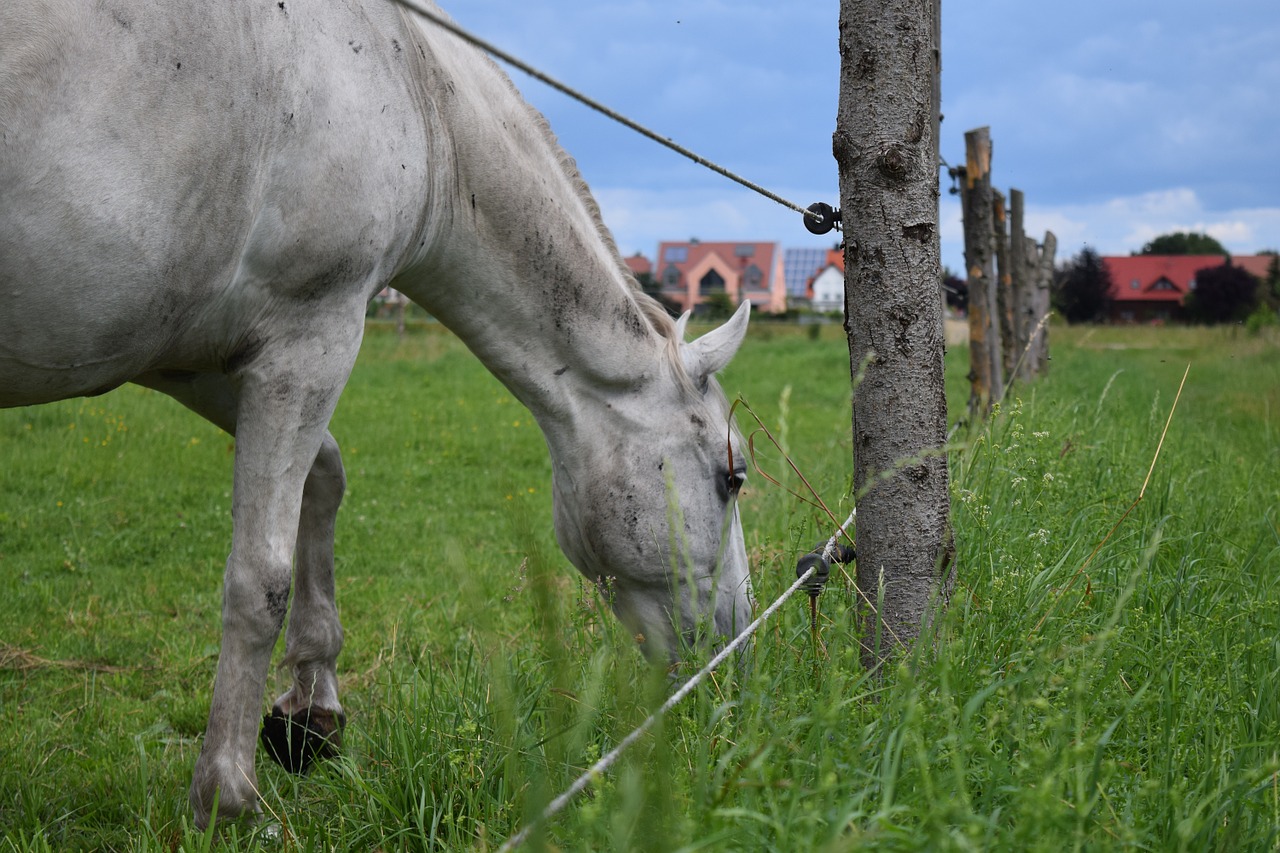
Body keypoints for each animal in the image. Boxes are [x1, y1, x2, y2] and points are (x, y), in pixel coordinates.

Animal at [0, 0, 752, 824]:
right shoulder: (312, 336)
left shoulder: (193, 361)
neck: (420, 97)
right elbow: (259, 577)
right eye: (734, 477)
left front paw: (311, 711)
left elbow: (323, 477)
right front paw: (227, 794)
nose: (737, 648)